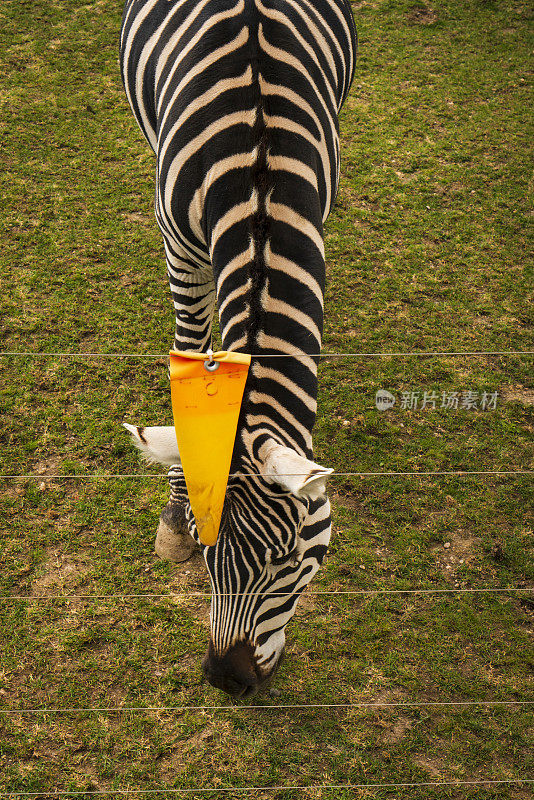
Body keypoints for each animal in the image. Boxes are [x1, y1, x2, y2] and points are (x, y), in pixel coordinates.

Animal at [120, 0, 356, 692]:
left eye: (285, 561)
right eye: (204, 547)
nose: (227, 681)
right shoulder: (181, 245)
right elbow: (190, 355)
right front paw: (173, 510)